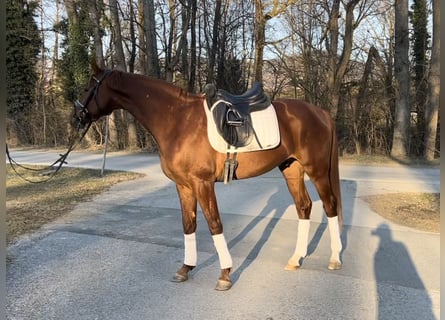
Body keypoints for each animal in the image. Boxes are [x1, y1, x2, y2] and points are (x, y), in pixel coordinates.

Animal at [73, 61, 344, 292]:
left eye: (88, 87)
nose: (77, 117)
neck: (177, 120)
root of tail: (321, 113)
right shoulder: (183, 186)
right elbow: (188, 224)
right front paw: (185, 269)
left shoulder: (201, 183)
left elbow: (214, 224)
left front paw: (225, 275)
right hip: (292, 169)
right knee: (304, 207)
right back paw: (296, 259)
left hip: (318, 171)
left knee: (330, 206)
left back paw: (334, 258)